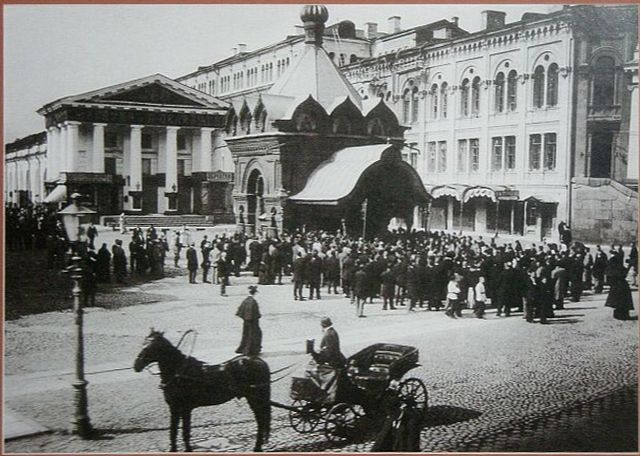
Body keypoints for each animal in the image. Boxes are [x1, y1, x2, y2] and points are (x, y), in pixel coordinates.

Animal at [132, 330, 270, 450]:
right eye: (143, 344)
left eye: (149, 347)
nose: (136, 365)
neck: (179, 373)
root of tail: (257, 360)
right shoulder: (176, 408)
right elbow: (175, 431)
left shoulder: (184, 408)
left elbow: (184, 432)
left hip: (255, 399)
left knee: (261, 420)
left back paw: (257, 447)